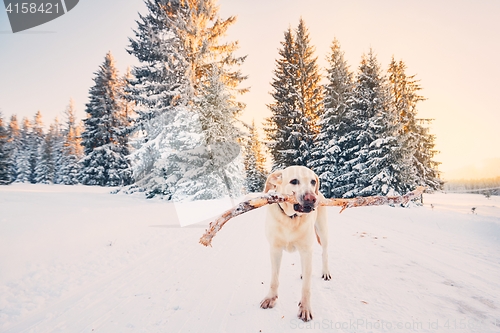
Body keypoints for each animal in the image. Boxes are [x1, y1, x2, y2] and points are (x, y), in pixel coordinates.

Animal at [260, 165, 330, 320]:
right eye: (294, 181)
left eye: (313, 182)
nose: (312, 198)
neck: (290, 218)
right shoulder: (275, 249)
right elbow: (274, 279)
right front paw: (271, 298)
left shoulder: (307, 250)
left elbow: (306, 287)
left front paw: (305, 308)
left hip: (323, 232)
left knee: (325, 253)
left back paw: (326, 272)